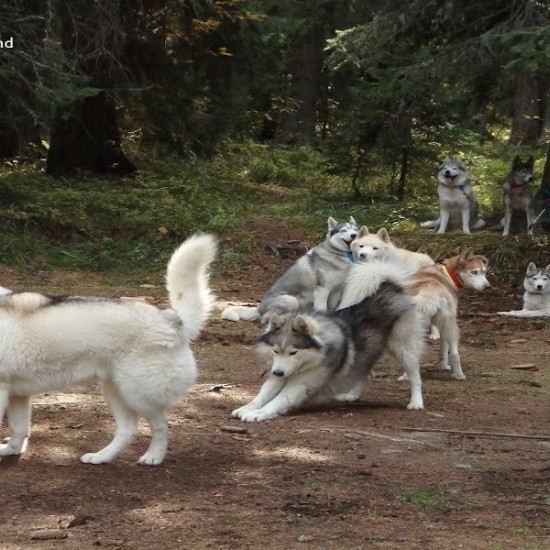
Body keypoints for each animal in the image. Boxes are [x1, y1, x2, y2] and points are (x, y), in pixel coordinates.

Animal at [0, 233, 217, 466]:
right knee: (128, 431)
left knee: (160, 425)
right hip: (115, 391)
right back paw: (101, 457)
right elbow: (18, 431)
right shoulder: (17, 395)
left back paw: (153, 456)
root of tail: (172, 320)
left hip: (137, 394)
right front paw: (11, 451)